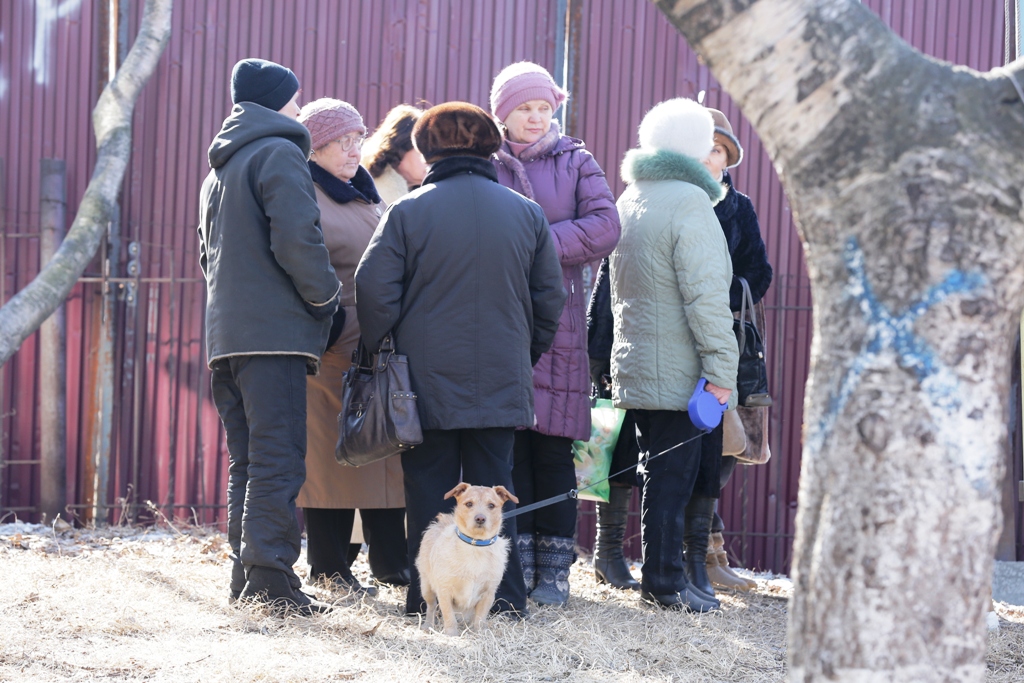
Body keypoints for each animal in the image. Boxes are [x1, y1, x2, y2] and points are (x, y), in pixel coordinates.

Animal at [413, 481, 520, 634]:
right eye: (469, 504)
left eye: (491, 505)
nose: (480, 518)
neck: (476, 546)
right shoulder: (444, 590)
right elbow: (448, 615)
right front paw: (451, 634)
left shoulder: (488, 593)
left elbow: (480, 617)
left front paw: (479, 632)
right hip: (426, 587)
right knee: (431, 607)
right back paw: (428, 625)